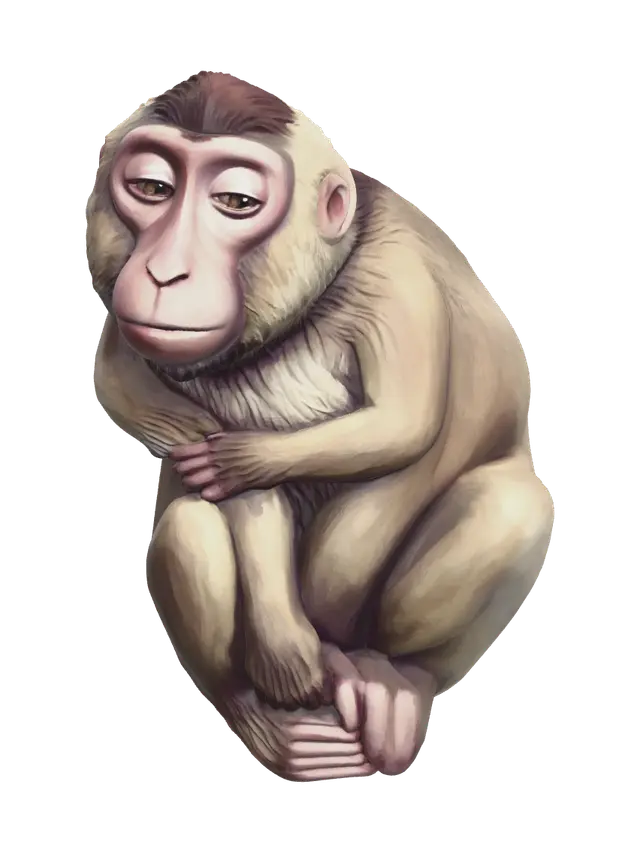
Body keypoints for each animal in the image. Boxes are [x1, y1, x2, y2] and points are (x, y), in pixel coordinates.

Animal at [87, 70, 555, 782]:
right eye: (152, 189)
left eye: (235, 201)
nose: (166, 271)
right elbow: (123, 377)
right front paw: (286, 651)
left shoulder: (394, 277)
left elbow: (404, 429)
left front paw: (241, 462)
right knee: (189, 527)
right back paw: (253, 705)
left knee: (507, 504)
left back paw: (391, 677)